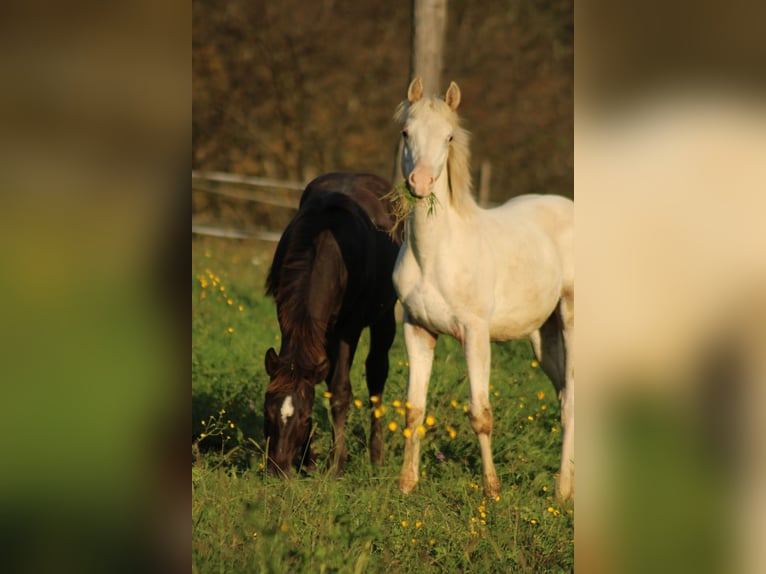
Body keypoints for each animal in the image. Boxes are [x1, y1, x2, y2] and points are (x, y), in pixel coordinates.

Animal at [264, 173, 404, 480]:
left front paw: (335, 465)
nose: (279, 470)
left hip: (384, 318)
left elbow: (340, 391)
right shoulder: (286, 318)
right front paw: (309, 460)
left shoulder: (347, 329)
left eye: (304, 417)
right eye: (268, 411)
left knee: (377, 374)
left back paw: (376, 456)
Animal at [392, 79, 572, 502]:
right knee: (564, 399)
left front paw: (492, 489)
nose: (420, 184)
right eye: (406, 133)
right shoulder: (416, 330)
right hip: (544, 337)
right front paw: (407, 484)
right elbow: (414, 409)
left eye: (448, 136)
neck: (436, 256)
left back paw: (563, 490)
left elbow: (480, 413)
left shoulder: (475, 334)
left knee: (574, 401)